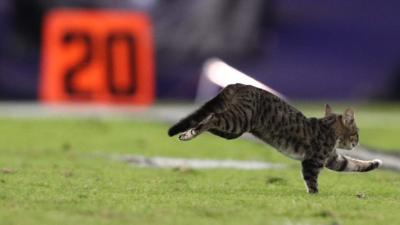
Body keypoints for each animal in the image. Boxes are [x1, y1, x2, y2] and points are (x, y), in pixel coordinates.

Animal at [167, 83, 382, 192]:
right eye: (356, 132)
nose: (357, 142)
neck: (329, 128)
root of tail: (238, 84)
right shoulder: (313, 161)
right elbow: (312, 181)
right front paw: (314, 196)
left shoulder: (332, 158)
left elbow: (354, 165)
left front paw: (375, 163)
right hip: (238, 120)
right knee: (211, 117)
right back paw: (190, 133)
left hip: (233, 131)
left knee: (205, 119)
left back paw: (187, 133)